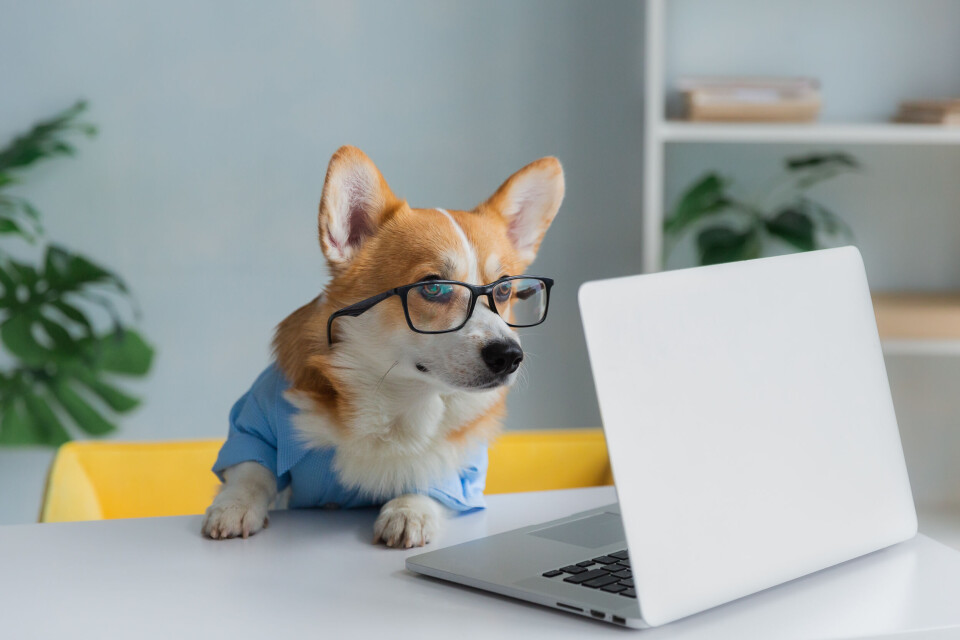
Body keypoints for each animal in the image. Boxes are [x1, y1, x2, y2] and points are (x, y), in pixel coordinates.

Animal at [202, 148, 564, 548]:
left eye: (503, 290)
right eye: (433, 287)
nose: (509, 356)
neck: (396, 397)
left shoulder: (462, 466)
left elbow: (433, 475)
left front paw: (409, 511)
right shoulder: (253, 427)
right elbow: (252, 469)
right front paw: (234, 506)